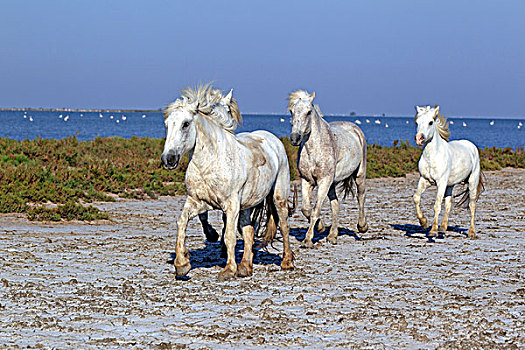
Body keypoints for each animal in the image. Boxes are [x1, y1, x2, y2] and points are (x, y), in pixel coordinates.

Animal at [162, 85, 292, 282]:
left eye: (185, 124)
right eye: (168, 124)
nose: (168, 159)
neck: (211, 162)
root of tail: (273, 140)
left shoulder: (231, 205)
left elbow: (229, 235)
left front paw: (228, 269)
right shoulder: (197, 201)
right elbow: (182, 222)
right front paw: (182, 265)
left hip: (278, 197)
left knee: (283, 226)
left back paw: (287, 262)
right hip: (247, 205)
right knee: (249, 231)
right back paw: (245, 267)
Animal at [286, 90, 368, 249]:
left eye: (308, 112)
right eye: (292, 111)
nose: (295, 138)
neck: (315, 150)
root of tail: (355, 128)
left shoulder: (323, 181)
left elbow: (315, 209)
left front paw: (307, 240)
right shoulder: (307, 181)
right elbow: (306, 209)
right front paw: (320, 227)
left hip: (359, 175)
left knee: (360, 196)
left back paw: (362, 226)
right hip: (332, 183)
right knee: (335, 205)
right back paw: (332, 236)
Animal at [414, 105, 484, 239]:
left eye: (430, 122)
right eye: (417, 122)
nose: (419, 139)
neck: (432, 156)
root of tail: (471, 146)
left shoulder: (441, 183)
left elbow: (437, 205)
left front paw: (433, 231)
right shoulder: (424, 180)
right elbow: (416, 198)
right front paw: (424, 222)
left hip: (472, 182)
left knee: (472, 205)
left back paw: (471, 232)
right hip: (450, 185)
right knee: (448, 204)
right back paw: (443, 228)